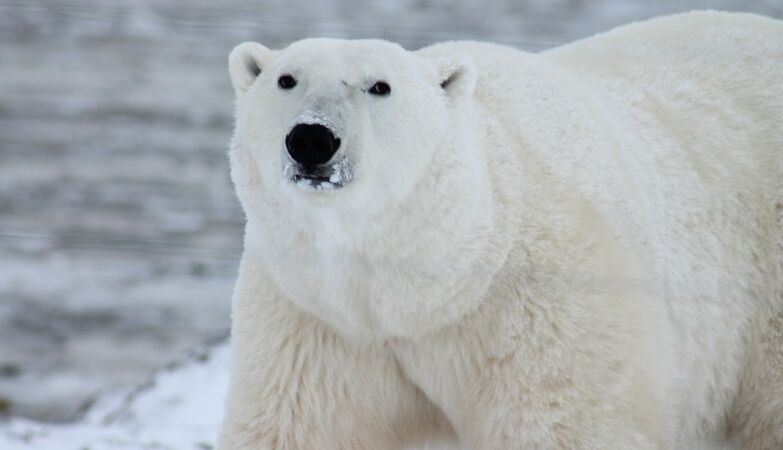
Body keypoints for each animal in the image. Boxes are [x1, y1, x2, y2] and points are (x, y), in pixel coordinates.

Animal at [216, 10, 783, 450]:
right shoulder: (317, 319)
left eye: (379, 86)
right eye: (286, 79)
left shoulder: (543, 308)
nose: (312, 139)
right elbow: (299, 426)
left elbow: (561, 425)